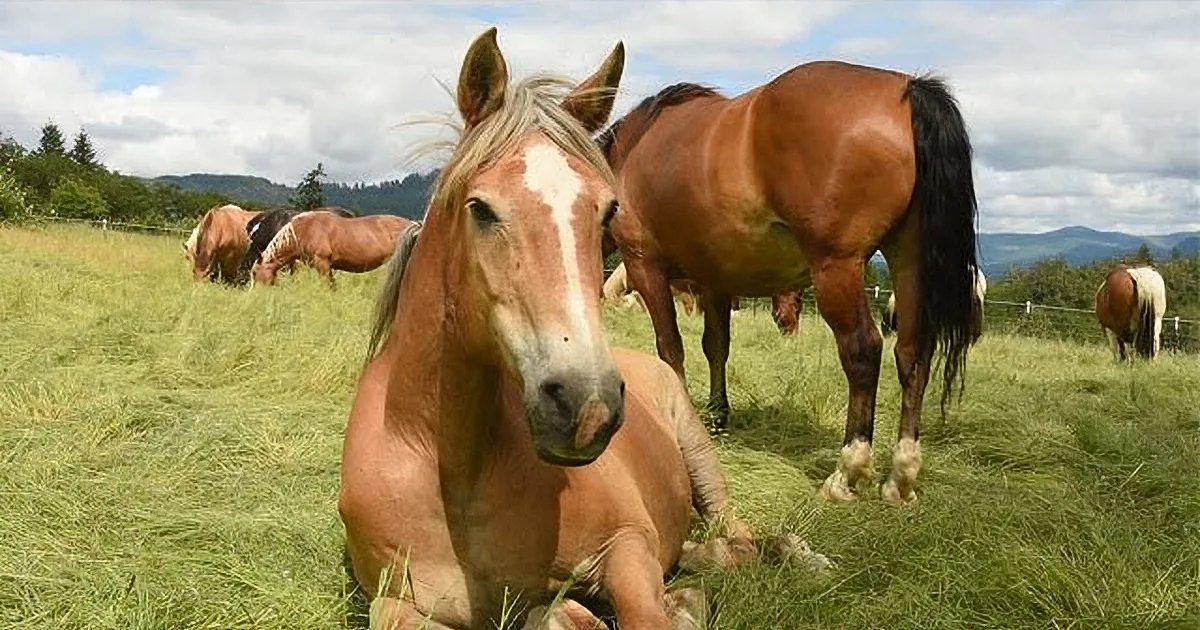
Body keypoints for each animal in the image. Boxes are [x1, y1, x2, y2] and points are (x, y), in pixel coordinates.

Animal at [338, 28, 773, 630]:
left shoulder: (627, 544)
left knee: (739, 538)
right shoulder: (395, 602)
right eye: (480, 209)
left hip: (700, 454)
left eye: (608, 210)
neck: (453, 471)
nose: (586, 406)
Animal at [598, 62, 980, 506]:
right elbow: (716, 346)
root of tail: (909, 89)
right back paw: (900, 477)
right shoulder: (714, 280)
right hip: (909, 262)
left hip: (837, 267)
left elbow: (670, 350)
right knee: (912, 355)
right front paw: (716, 413)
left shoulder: (646, 267)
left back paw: (847, 472)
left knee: (863, 351)